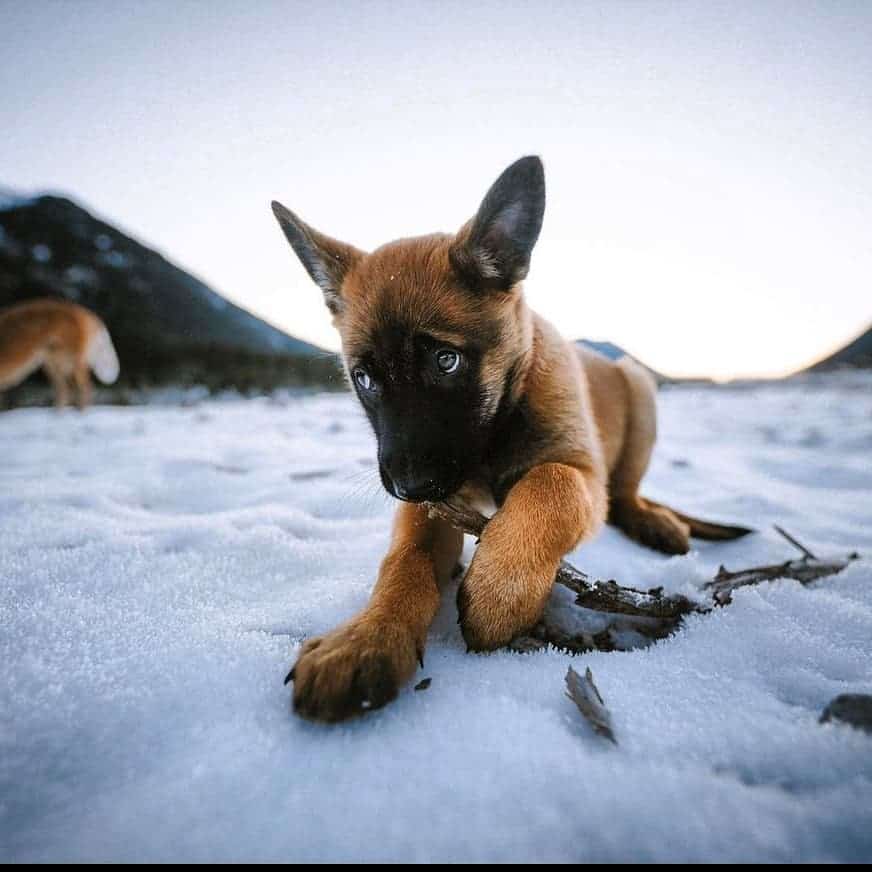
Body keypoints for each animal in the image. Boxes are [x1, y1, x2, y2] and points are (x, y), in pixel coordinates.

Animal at [274, 155, 748, 724]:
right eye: (364, 379)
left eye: (446, 360)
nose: (410, 486)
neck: (494, 432)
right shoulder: (438, 505)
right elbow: (404, 561)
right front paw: (367, 636)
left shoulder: (581, 471)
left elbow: (552, 482)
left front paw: (501, 592)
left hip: (639, 390)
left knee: (625, 494)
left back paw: (653, 521)